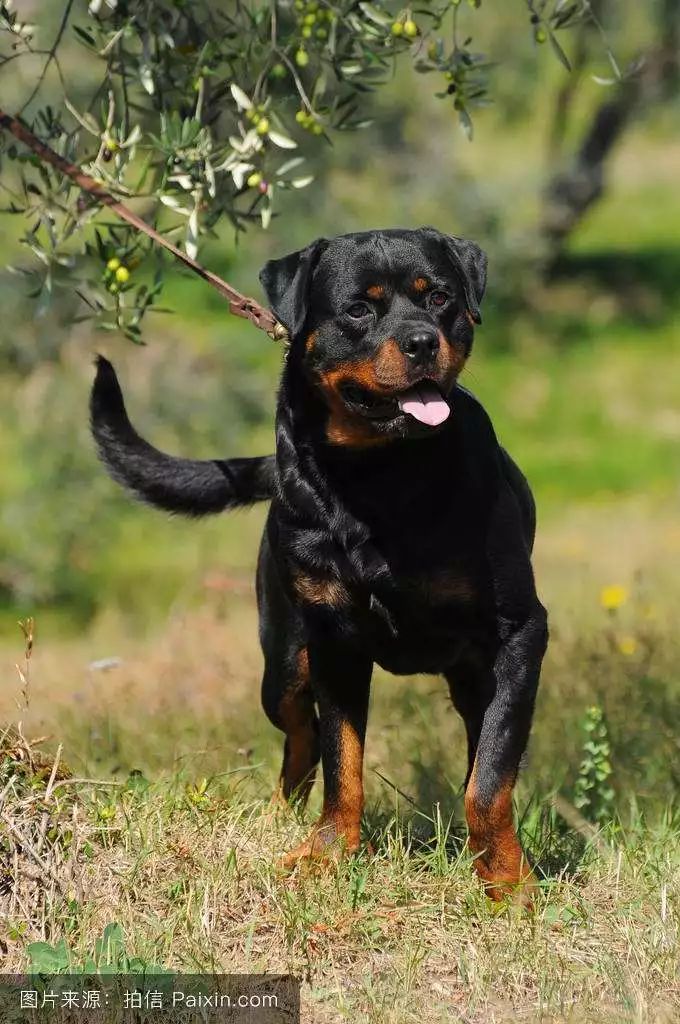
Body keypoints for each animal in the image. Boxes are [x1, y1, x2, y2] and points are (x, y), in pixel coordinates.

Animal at [90, 228, 548, 901]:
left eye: (439, 298)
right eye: (358, 310)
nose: (421, 341)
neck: (379, 476)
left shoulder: (518, 635)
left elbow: (489, 780)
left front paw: (507, 882)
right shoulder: (334, 640)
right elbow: (342, 761)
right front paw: (328, 855)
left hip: (468, 673)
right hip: (283, 660)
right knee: (300, 735)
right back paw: (279, 817)